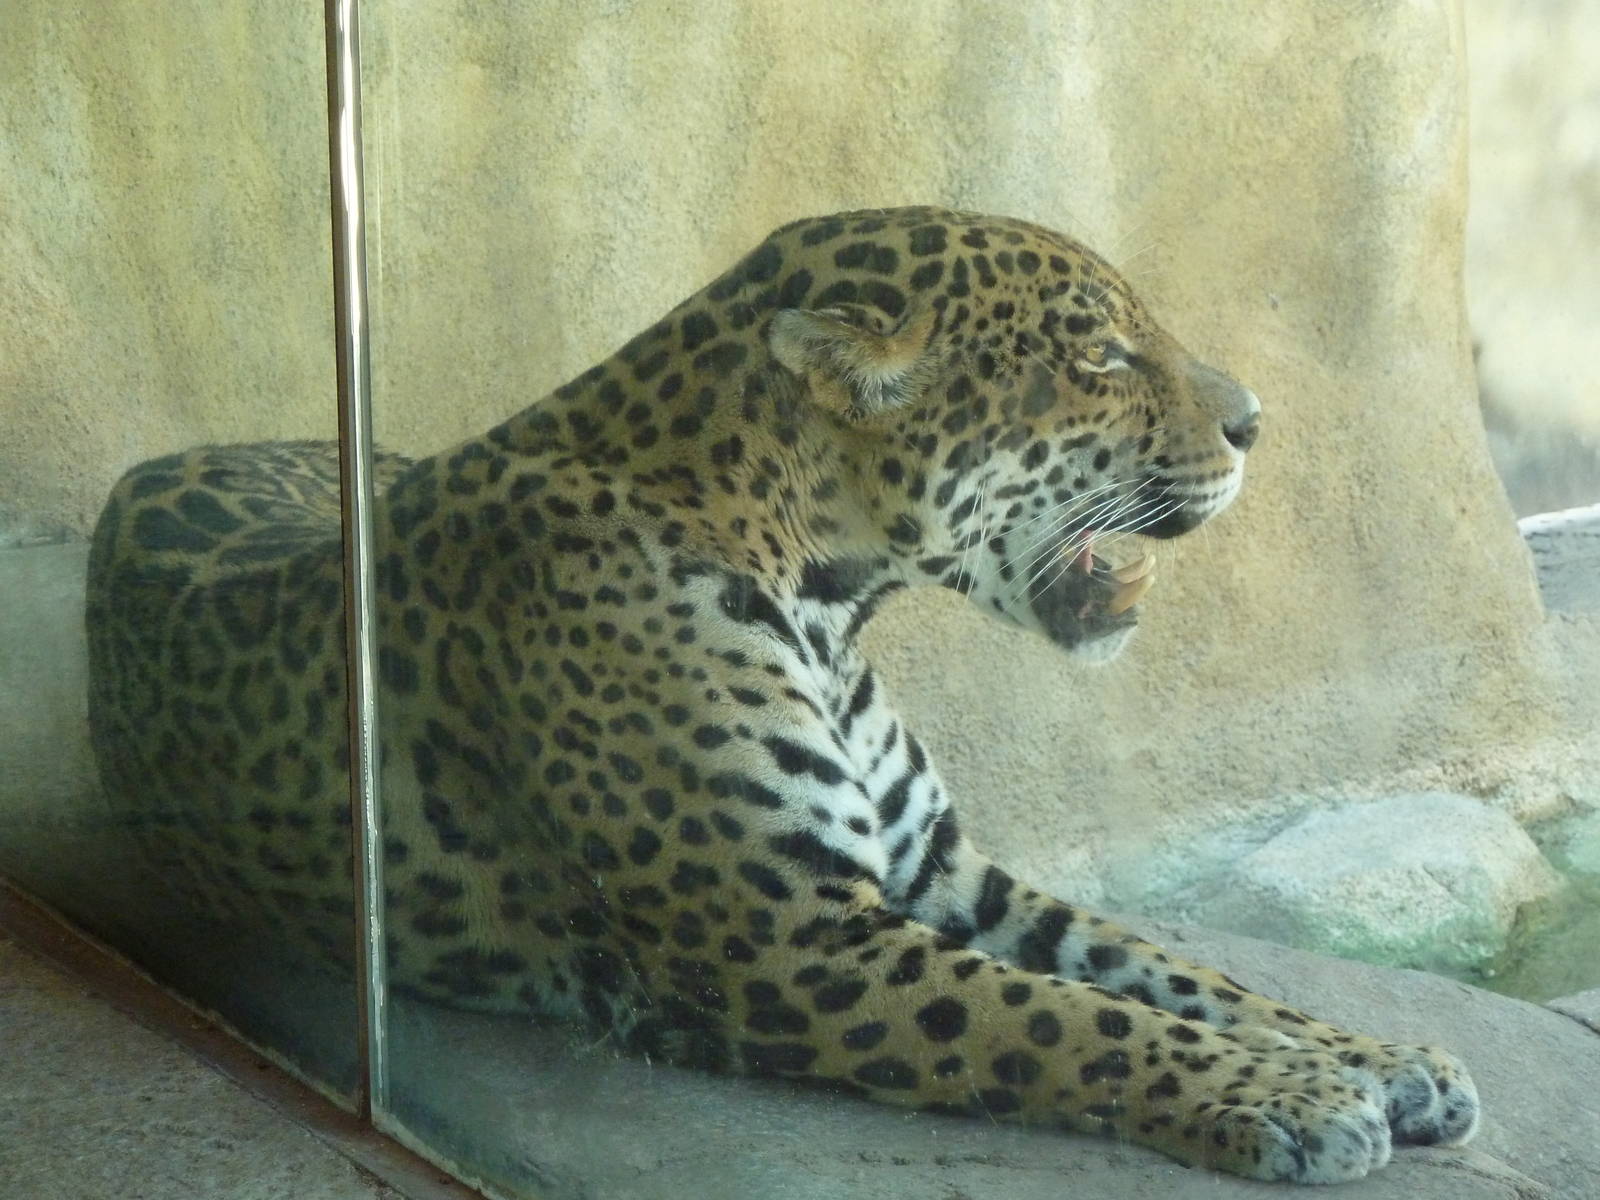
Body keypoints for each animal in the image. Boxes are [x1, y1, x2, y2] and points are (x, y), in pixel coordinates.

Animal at [87, 206, 1479, 1183]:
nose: (1257, 422)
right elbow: (1066, 1022)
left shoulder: (945, 872)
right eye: (1095, 350)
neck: (828, 600)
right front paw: (1292, 1098)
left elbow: (1166, 969)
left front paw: (1376, 1057)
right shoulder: (778, 938)